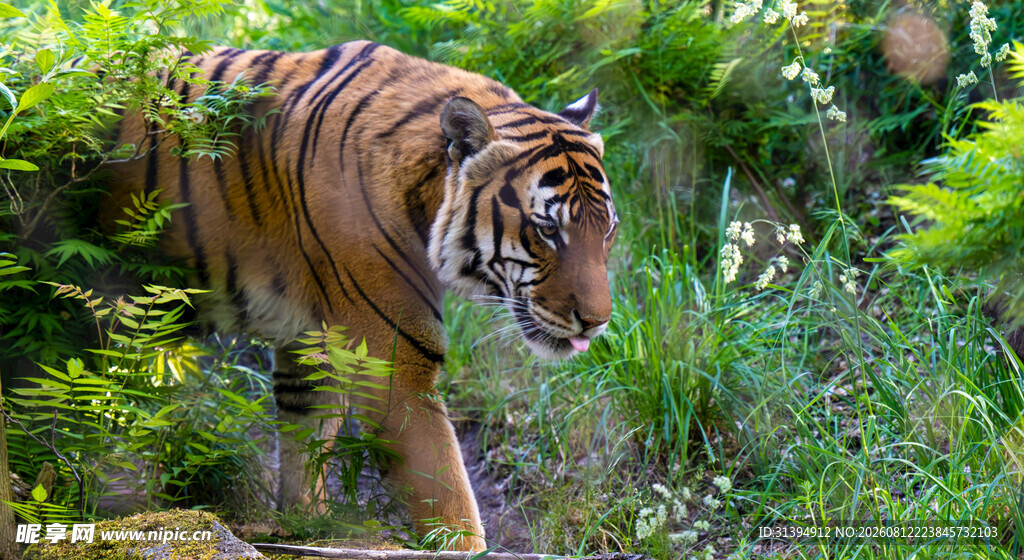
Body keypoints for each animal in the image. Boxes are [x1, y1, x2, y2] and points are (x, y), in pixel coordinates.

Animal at [105, 40, 617, 551]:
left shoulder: (309, 343)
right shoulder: (395, 362)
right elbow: (447, 496)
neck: (425, 192)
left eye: (607, 230)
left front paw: (305, 527)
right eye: (547, 229)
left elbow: (305, 443)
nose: (597, 322)